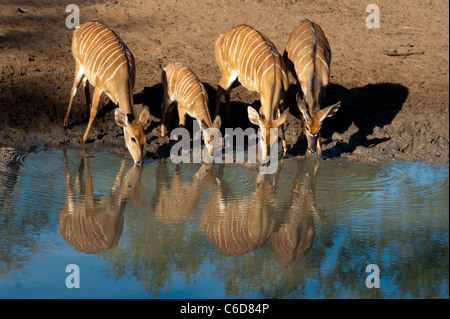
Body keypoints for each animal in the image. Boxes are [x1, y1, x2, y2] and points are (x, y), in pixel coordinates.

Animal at [63, 20, 149, 166]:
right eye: (133, 139)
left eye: (145, 139)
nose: (139, 161)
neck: (122, 76)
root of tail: (80, 26)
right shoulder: (99, 87)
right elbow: (94, 111)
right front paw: (84, 139)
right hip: (79, 65)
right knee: (74, 89)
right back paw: (65, 123)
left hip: (87, 71)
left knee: (85, 83)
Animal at [215, 24, 292, 162]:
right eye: (261, 138)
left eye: (274, 140)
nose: (266, 159)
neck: (275, 77)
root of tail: (222, 37)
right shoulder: (262, 97)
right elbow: (260, 116)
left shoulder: (282, 98)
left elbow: (281, 122)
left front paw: (284, 149)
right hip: (228, 72)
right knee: (219, 90)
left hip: (238, 79)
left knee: (226, 90)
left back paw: (229, 120)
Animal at [284, 18, 342, 156]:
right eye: (307, 127)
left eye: (320, 128)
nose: (311, 149)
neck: (315, 71)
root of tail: (307, 20)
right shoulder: (301, 86)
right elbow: (302, 111)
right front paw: (300, 140)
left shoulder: (324, 90)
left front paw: (320, 148)